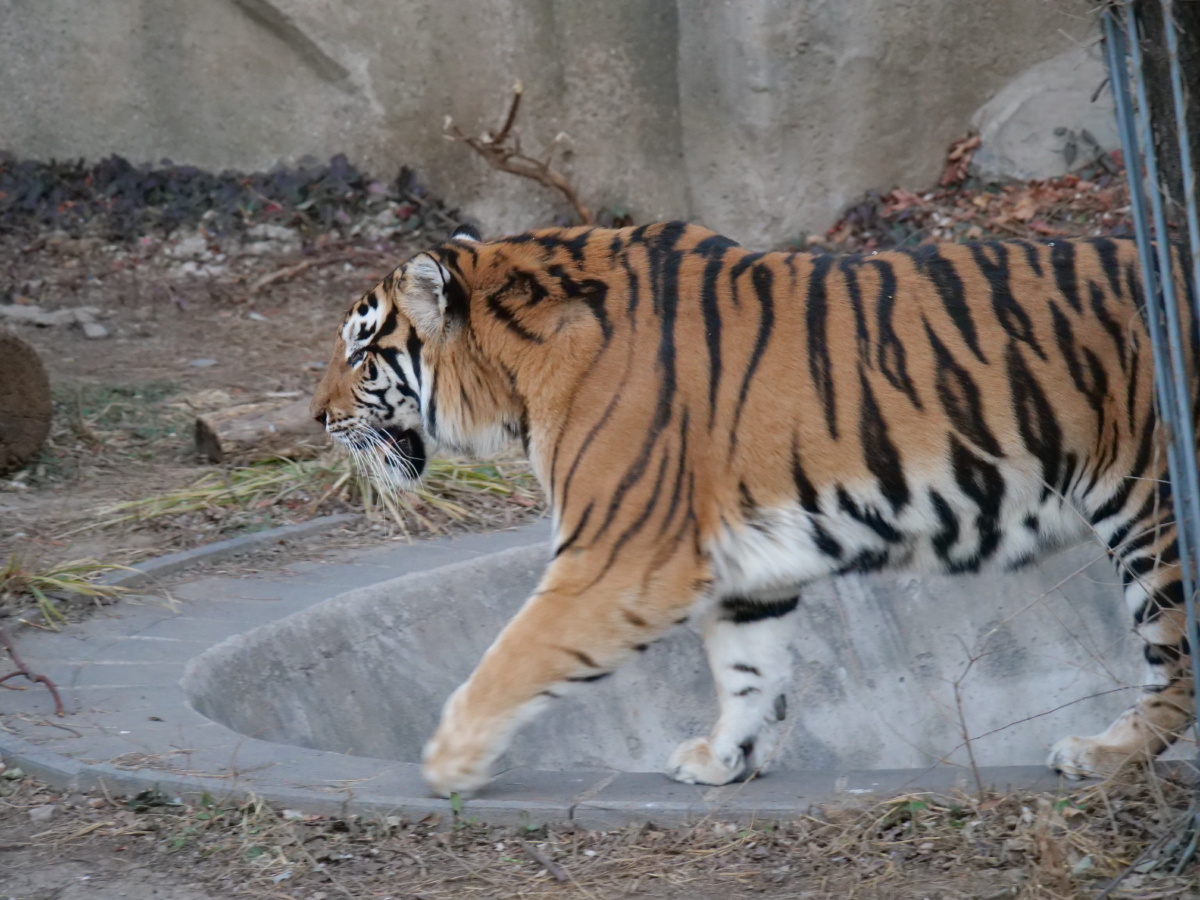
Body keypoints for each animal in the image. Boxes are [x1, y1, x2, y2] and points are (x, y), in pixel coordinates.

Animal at [311, 220, 1197, 797]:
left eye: (360, 353)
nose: (314, 419)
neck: (515, 369)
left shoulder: (620, 557)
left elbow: (514, 655)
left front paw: (447, 761)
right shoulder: (747, 567)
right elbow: (750, 671)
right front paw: (724, 760)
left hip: (1152, 514)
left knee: (1177, 666)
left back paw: (1101, 755)